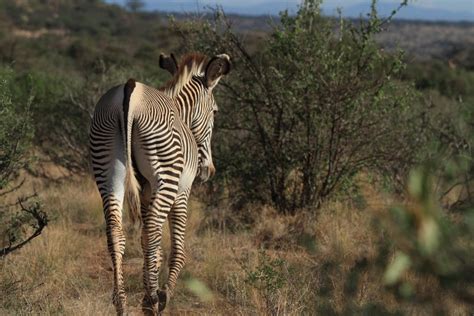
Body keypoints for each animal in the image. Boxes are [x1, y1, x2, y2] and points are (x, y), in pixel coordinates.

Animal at [90, 51, 231, 314]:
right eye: (216, 112)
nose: (208, 171)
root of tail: (130, 90)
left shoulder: (145, 193)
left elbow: (148, 246)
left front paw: (149, 287)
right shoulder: (183, 191)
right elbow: (176, 248)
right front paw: (161, 294)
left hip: (107, 167)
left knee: (117, 232)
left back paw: (122, 302)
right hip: (167, 175)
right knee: (154, 231)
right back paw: (154, 300)